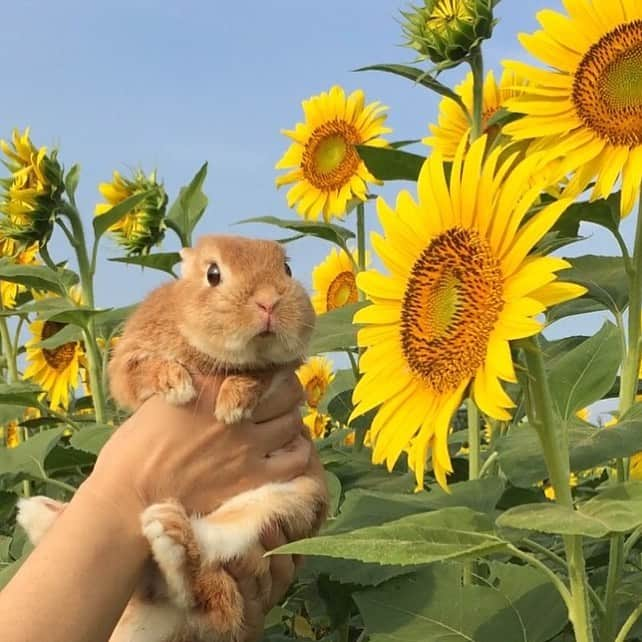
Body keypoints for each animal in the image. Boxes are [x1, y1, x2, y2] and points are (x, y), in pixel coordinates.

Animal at [17, 235, 328, 640]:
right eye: (213, 274)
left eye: (287, 270)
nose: (268, 303)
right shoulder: (128, 361)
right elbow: (139, 372)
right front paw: (177, 385)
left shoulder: (279, 372)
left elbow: (262, 374)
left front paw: (232, 403)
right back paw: (44, 513)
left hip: (282, 506)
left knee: (208, 592)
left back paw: (170, 538)